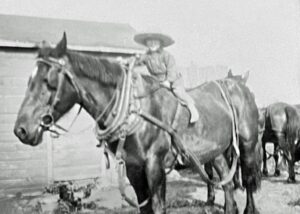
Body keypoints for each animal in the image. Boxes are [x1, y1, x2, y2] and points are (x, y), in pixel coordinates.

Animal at [13, 34, 260, 213]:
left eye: (49, 80)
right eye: (28, 80)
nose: (21, 130)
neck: (136, 112)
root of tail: (239, 86)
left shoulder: (155, 167)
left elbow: (158, 207)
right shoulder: (133, 168)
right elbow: (145, 207)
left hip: (247, 144)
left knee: (247, 181)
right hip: (214, 152)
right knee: (227, 184)